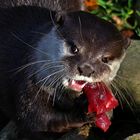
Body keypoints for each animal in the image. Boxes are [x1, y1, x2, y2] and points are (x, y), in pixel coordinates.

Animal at [0, 4, 130, 139]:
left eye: (105, 59)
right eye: (74, 48)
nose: (86, 69)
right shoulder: (28, 85)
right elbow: (40, 120)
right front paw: (82, 112)